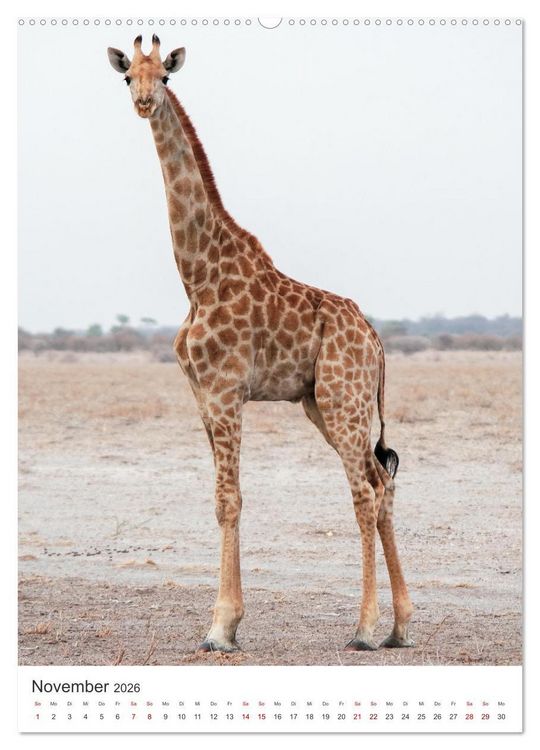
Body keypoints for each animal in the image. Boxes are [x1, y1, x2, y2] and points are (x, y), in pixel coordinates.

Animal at [108, 36, 413, 654]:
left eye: (165, 77)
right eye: (128, 76)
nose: (145, 102)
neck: (197, 276)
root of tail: (374, 339)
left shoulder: (227, 392)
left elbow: (230, 500)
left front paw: (221, 627)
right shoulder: (203, 398)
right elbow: (221, 499)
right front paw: (225, 622)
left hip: (343, 401)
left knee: (364, 493)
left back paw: (365, 628)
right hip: (322, 403)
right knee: (382, 482)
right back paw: (399, 625)